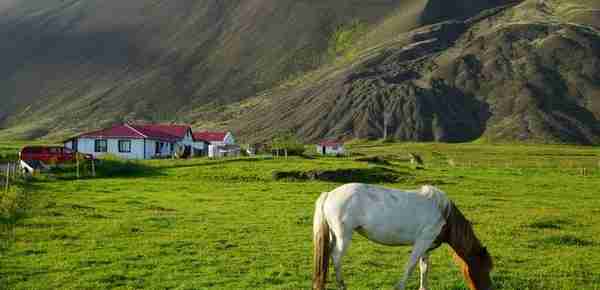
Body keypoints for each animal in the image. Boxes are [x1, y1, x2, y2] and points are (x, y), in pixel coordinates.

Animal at [314, 184, 492, 290]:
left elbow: (424, 268)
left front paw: (423, 288)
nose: (488, 288)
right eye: (484, 268)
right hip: (343, 237)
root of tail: (329, 194)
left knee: (327, 255)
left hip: (334, 236)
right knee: (336, 258)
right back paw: (342, 286)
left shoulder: (427, 246)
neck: (443, 213)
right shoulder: (422, 242)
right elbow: (411, 266)